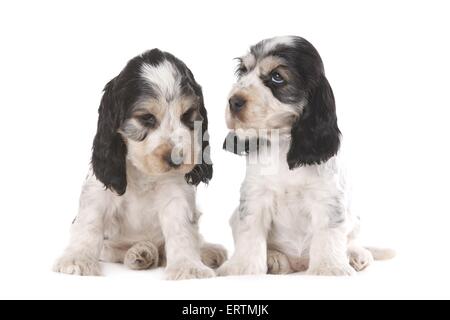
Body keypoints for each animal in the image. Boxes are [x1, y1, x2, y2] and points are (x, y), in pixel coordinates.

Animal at [54, 49, 227, 280]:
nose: (176, 159)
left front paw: (188, 267)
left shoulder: (176, 194)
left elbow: (181, 231)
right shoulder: (98, 191)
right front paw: (77, 260)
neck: (145, 174)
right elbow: (88, 222)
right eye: (147, 118)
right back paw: (141, 252)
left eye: (187, 116)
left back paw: (209, 252)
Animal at [219, 36, 394, 276]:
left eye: (277, 77)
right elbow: (250, 232)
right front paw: (242, 267)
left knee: (351, 239)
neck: (284, 143)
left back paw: (356, 255)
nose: (234, 101)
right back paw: (274, 259)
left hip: (353, 217)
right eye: (243, 71)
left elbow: (329, 233)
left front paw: (330, 268)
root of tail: (299, 262)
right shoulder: (255, 195)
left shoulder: (328, 196)